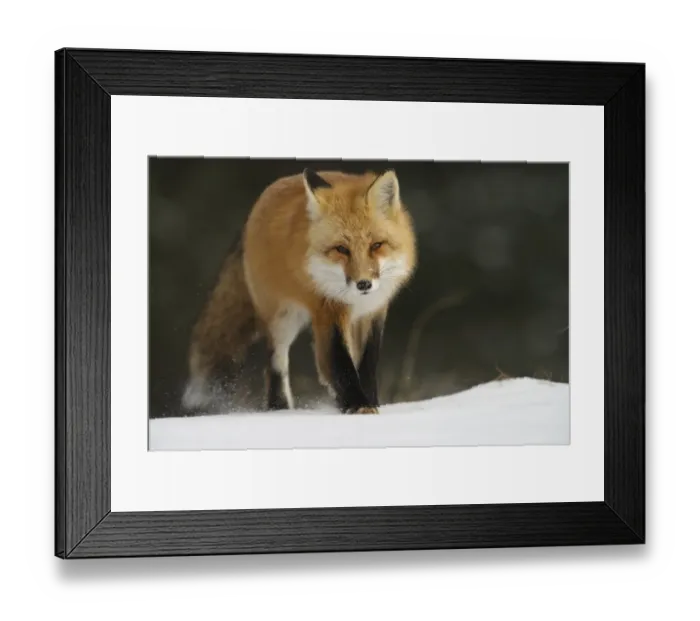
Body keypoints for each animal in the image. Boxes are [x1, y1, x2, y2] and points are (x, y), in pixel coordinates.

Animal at [183, 168, 417, 415]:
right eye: (341, 249)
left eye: (376, 245)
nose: (363, 284)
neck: (356, 301)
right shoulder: (328, 310)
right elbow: (340, 363)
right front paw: (357, 404)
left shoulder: (373, 312)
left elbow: (367, 363)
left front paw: (369, 401)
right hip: (283, 319)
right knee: (275, 363)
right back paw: (280, 408)